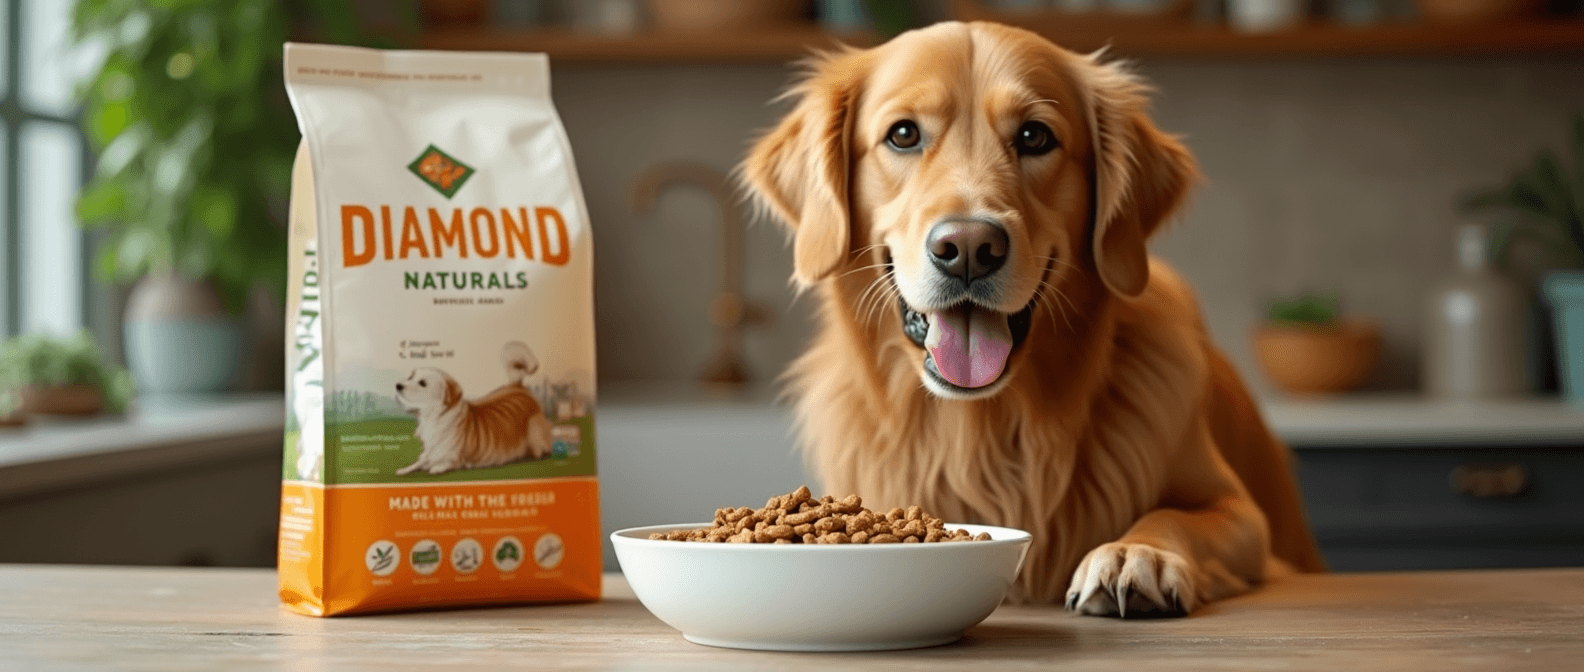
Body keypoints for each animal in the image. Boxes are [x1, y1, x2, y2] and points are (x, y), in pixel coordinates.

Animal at [392, 340, 554, 478]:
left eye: (422, 383)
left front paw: (435, 468)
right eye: (411, 376)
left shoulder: (452, 457)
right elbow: (419, 462)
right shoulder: (428, 453)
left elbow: (442, 463)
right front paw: (404, 469)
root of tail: (517, 386)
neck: (434, 417)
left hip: (535, 432)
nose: (398, 386)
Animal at [741, 23, 1324, 618]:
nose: (968, 249)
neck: (984, 430)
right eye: (903, 134)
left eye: (1035, 137)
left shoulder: (1246, 519)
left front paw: (1135, 553)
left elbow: (1174, 516)